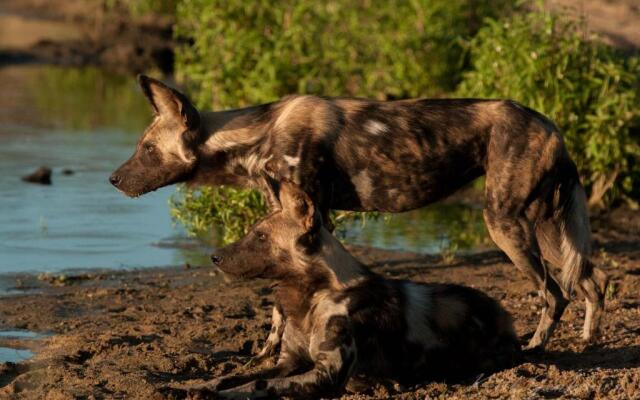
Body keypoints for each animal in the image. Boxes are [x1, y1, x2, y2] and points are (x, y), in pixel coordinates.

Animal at [111, 75, 608, 350]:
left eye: (148, 149)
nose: (114, 180)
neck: (257, 136)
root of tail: (552, 125)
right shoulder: (297, 220)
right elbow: (280, 305)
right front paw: (268, 352)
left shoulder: (309, 218)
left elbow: (282, 306)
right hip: (547, 227)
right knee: (592, 280)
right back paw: (588, 341)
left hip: (504, 224)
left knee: (554, 293)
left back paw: (534, 350)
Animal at [175, 182, 520, 400]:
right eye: (252, 232)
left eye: (260, 236)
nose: (214, 256)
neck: (311, 296)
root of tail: (503, 314)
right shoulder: (288, 362)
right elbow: (234, 376)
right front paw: (199, 386)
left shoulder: (326, 374)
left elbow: (260, 385)